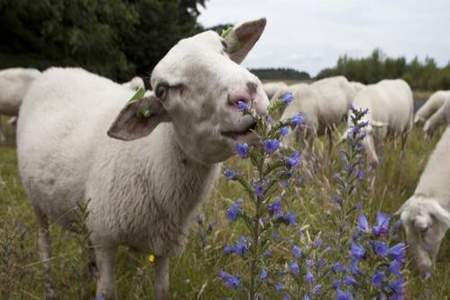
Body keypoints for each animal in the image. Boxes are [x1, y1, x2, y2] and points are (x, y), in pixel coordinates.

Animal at [17, 19, 268, 300]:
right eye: (163, 90)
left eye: (224, 47)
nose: (245, 95)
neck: (153, 158)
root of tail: (57, 70)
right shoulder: (105, 237)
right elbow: (106, 290)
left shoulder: (164, 244)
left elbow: (162, 289)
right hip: (36, 201)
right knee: (44, 244)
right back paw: (49, 286)